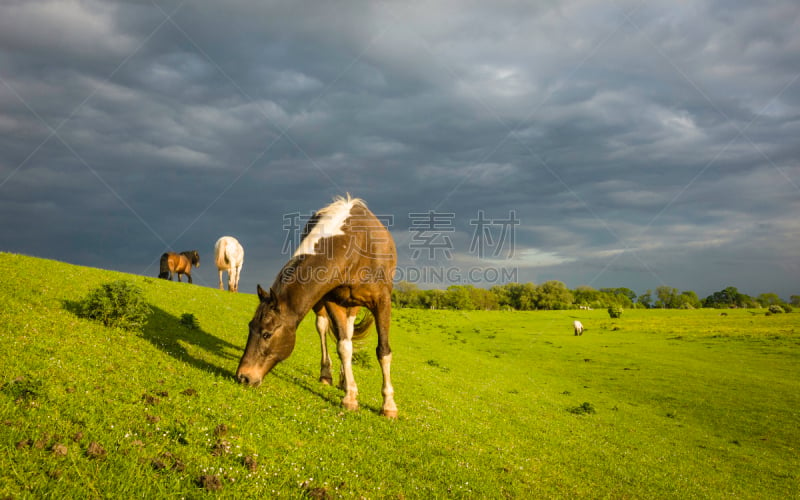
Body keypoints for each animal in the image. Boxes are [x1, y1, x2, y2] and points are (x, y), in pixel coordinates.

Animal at [236, 195, 400, 418]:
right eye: (250, 327)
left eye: (267, 334)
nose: (243, 376)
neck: (355, 247)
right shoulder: (331, 301)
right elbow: (343, 347)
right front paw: (350, 397)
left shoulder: (382, 301)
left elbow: (383, 351)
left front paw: (389, 405)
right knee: (327, 330)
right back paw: (330, 376)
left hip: (355, 306)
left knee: (350, 332)